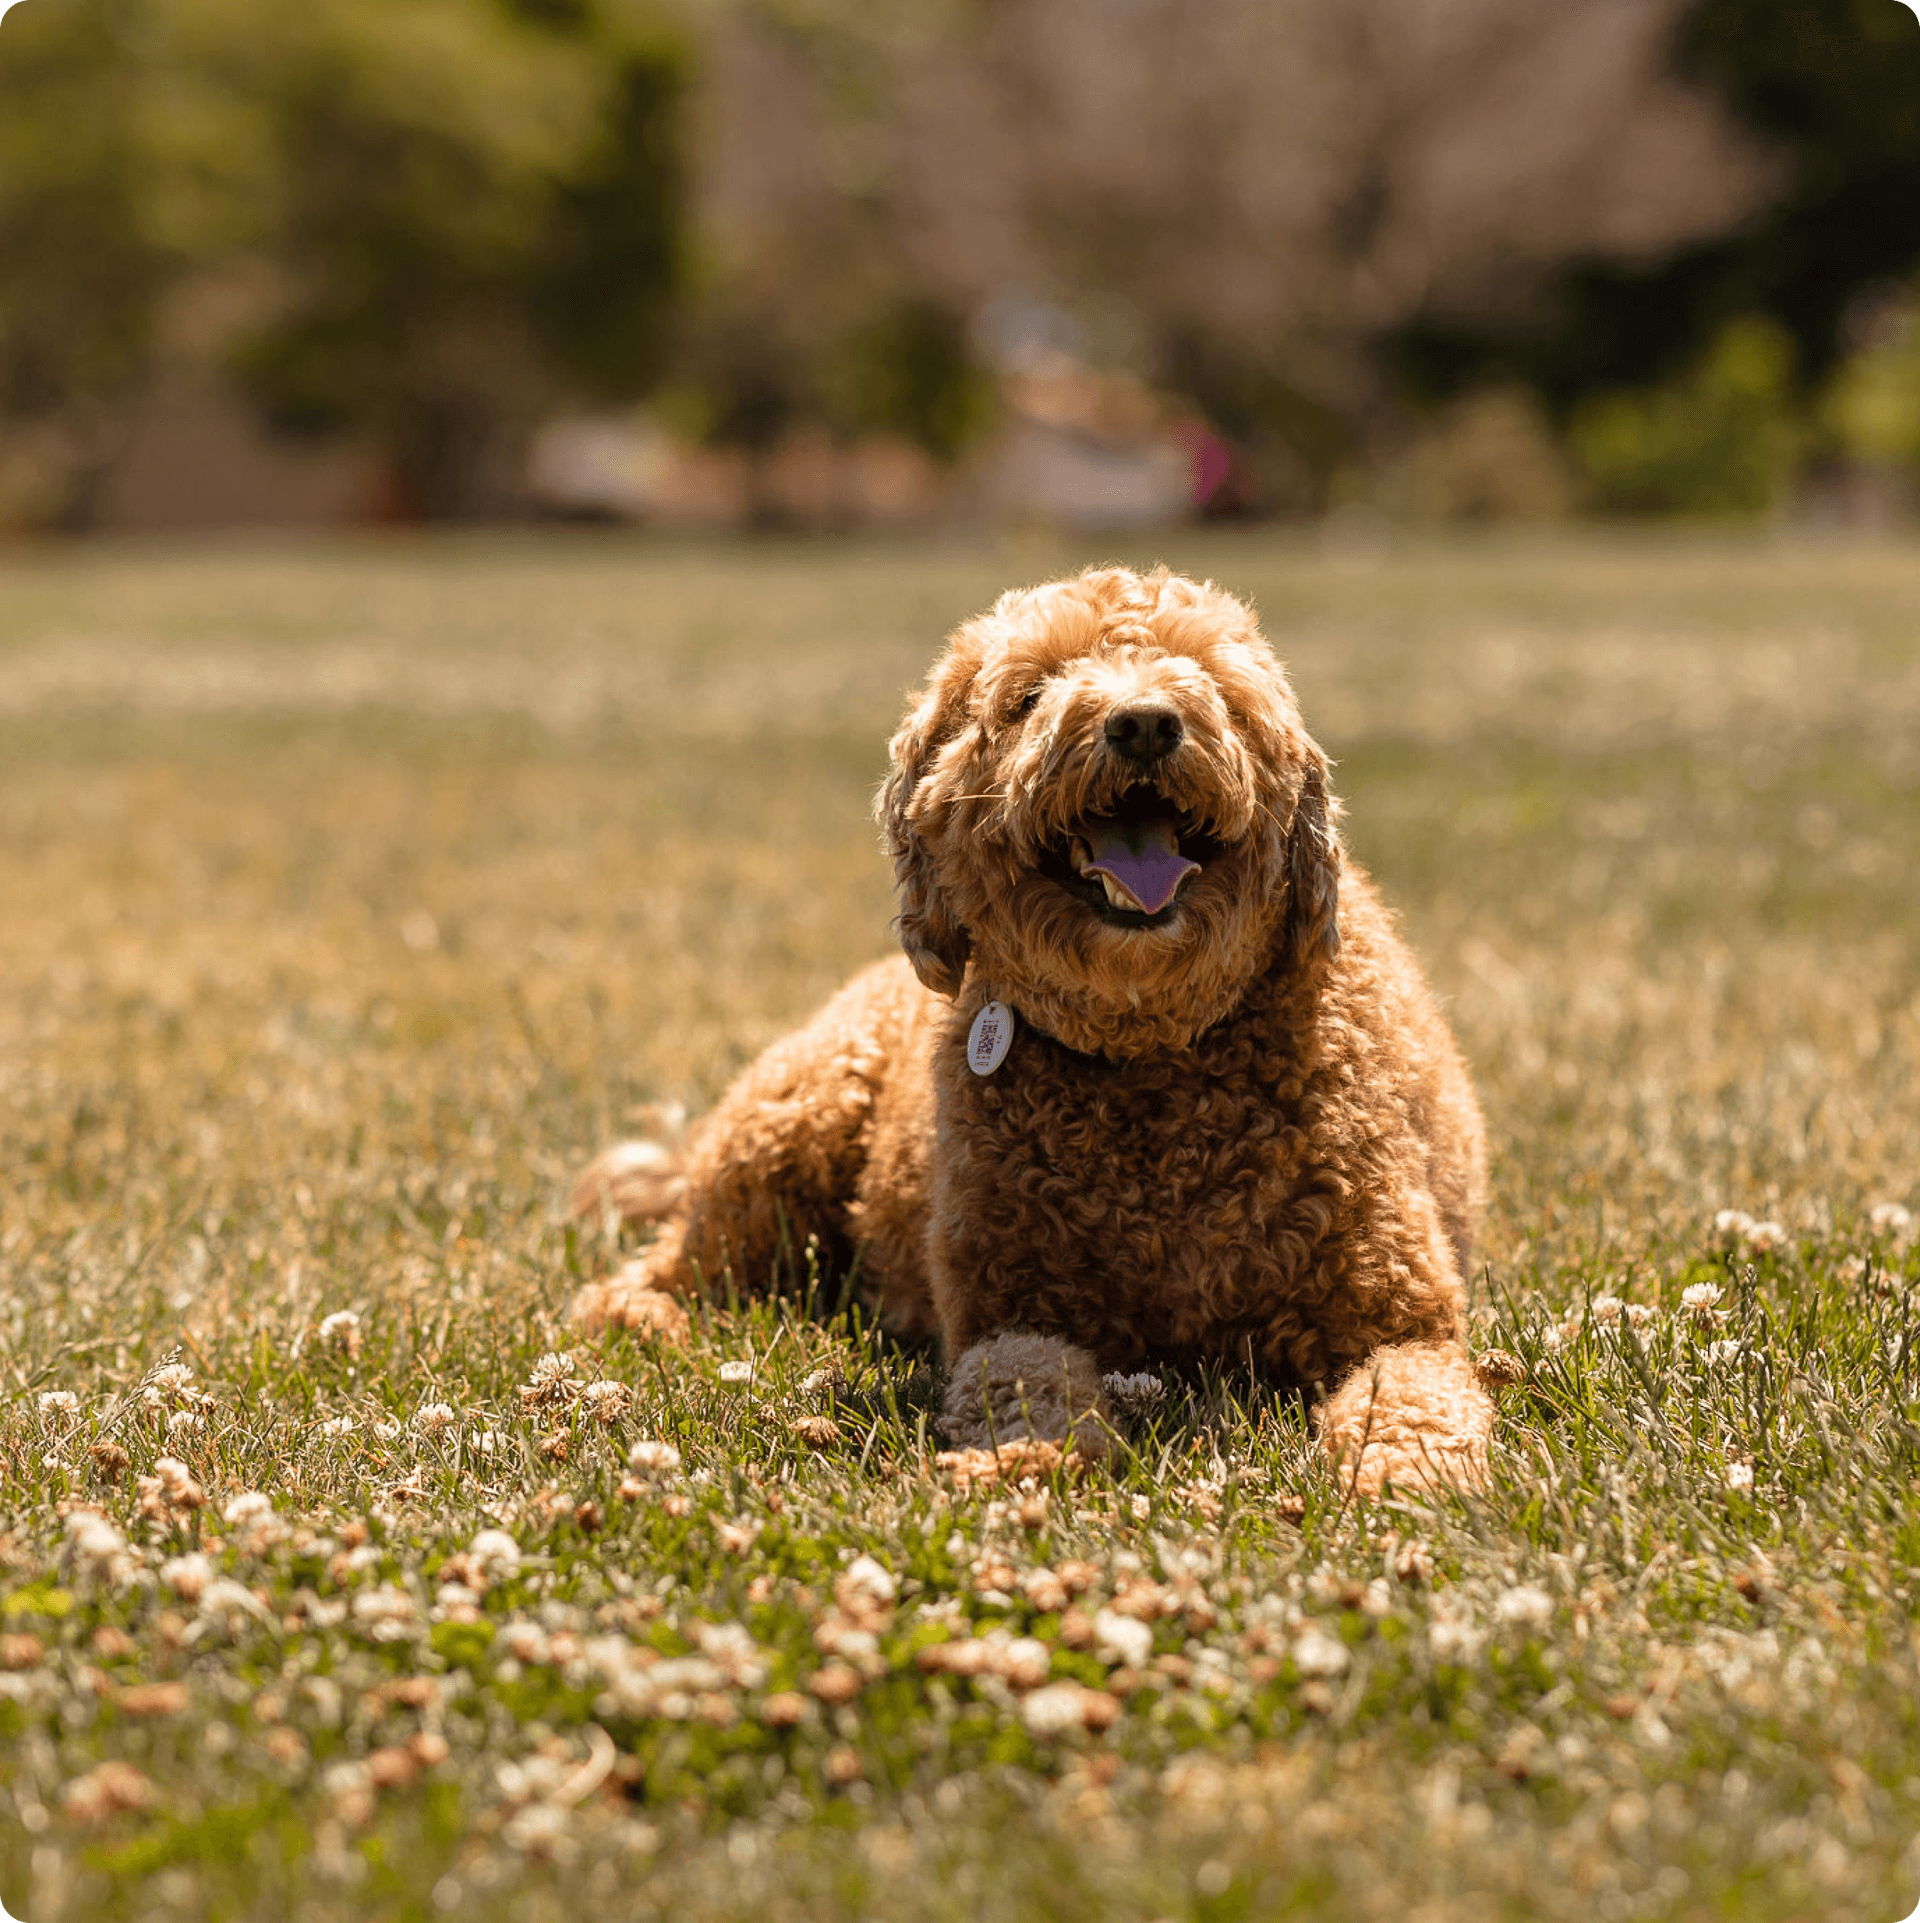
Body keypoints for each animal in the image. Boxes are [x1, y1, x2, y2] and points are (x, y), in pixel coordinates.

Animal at [573, 561, 1500, 1492]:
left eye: (1216, 686)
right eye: (1029, 695)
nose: (1143, 722)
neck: (1149, 1057)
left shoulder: (1401, 1318)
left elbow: (1410, 1398)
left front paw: (1403, 1477)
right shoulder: (1010, 1312)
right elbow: (1025, 1384)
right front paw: (1020, 1458)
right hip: (786, 1128)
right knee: (673, 1263)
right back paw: (641, 1318)